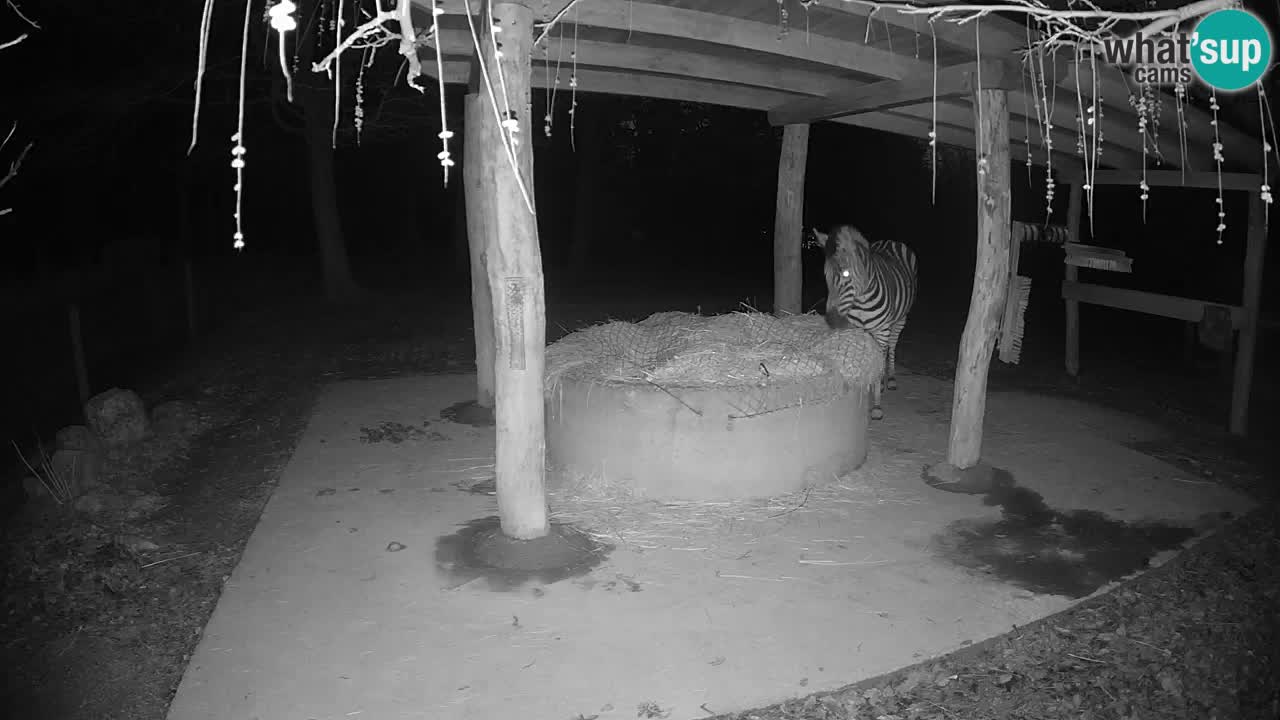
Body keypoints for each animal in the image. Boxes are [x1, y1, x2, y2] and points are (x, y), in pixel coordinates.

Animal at [819, 221, 921, 417]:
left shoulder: (882, 330)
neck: (861, 301)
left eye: (846, 274)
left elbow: (880, 357)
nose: (833, 321)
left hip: (899, 320)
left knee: (892, 346)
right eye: (825, 275)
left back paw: (890, 379)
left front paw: (876, 406)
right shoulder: (857, 330)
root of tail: (890, 241)